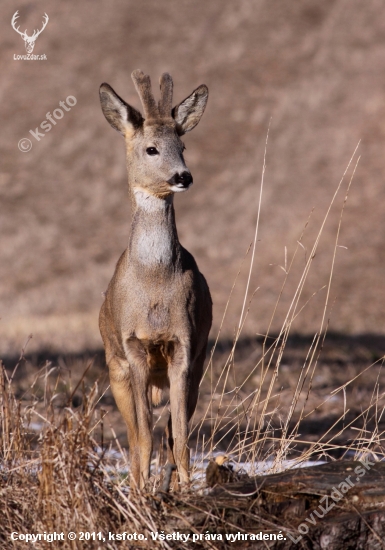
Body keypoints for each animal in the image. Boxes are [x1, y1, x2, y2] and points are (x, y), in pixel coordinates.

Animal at [99, 70, 212, 492]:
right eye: (151, 148)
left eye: (183, 145)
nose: (183, 176)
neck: (155, 284)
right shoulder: (132, 346)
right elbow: (143, 435)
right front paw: (143, 494)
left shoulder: (185, 345)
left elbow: (179, 436)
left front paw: (184, 489)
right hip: (113, 365)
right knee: (134, 436)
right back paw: (138, 484)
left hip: (199, 363)